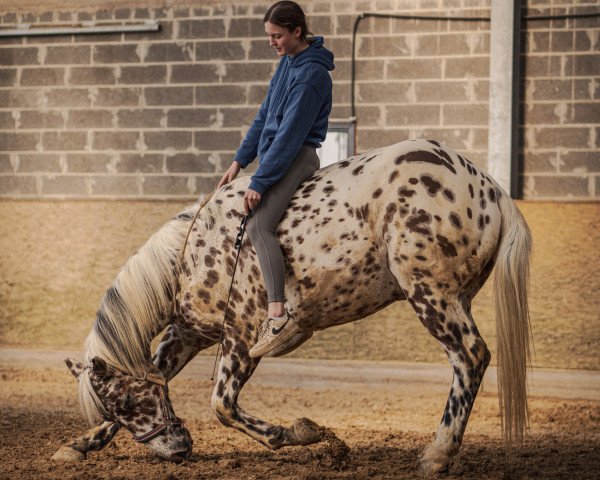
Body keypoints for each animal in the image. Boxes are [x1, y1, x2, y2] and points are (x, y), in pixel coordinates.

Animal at [57, 138, 536, 472]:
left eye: (127, 401)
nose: (177, 450)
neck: (193, 253)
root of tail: (488, 187)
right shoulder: (187, 333)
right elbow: (160, 373)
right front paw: (76, 446)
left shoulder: (240, 337)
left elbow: (222, 405)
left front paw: (303, 433)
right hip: (456, 297)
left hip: (431, 294)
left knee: (470, 357)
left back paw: (437, 454)